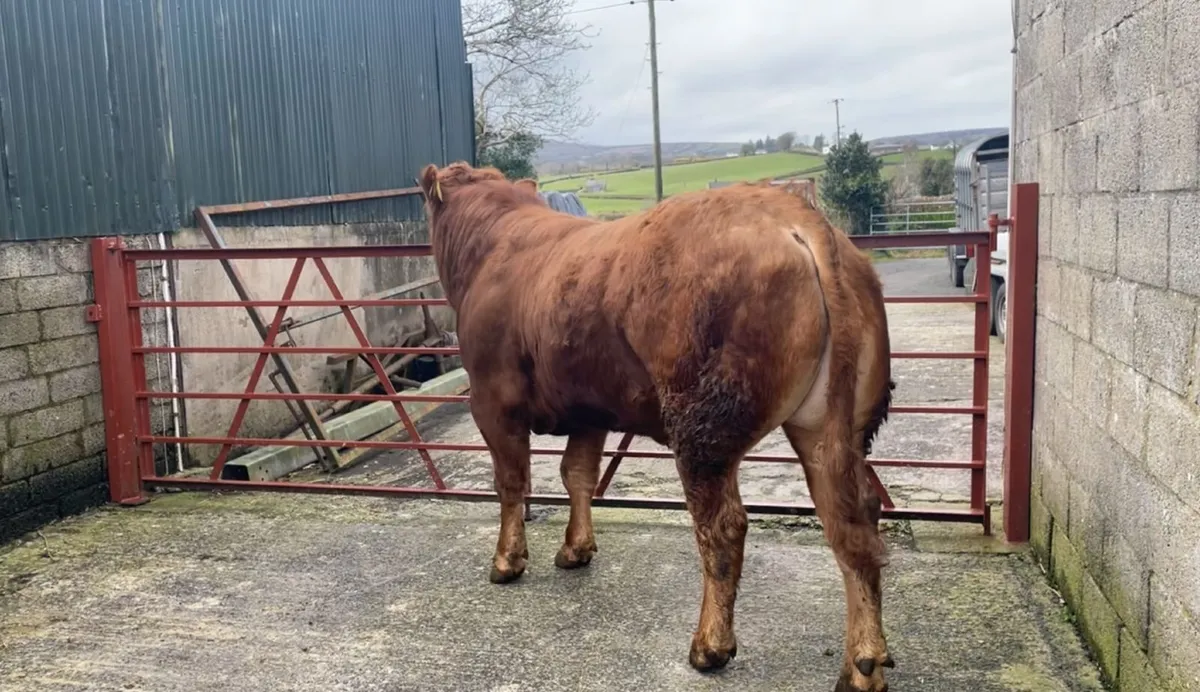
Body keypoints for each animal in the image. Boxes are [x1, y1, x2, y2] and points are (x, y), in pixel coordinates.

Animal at [417, 162, 896, 692]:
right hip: (831, 424)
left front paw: (507, 561)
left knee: (723, 526)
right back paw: (863, 665)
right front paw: (576, 549)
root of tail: (798, 217)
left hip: (702, 423)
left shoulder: (492, 399)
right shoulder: (591, 408)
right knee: (853, 522)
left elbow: (510, 482)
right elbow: (577, 474)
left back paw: (710, 646)